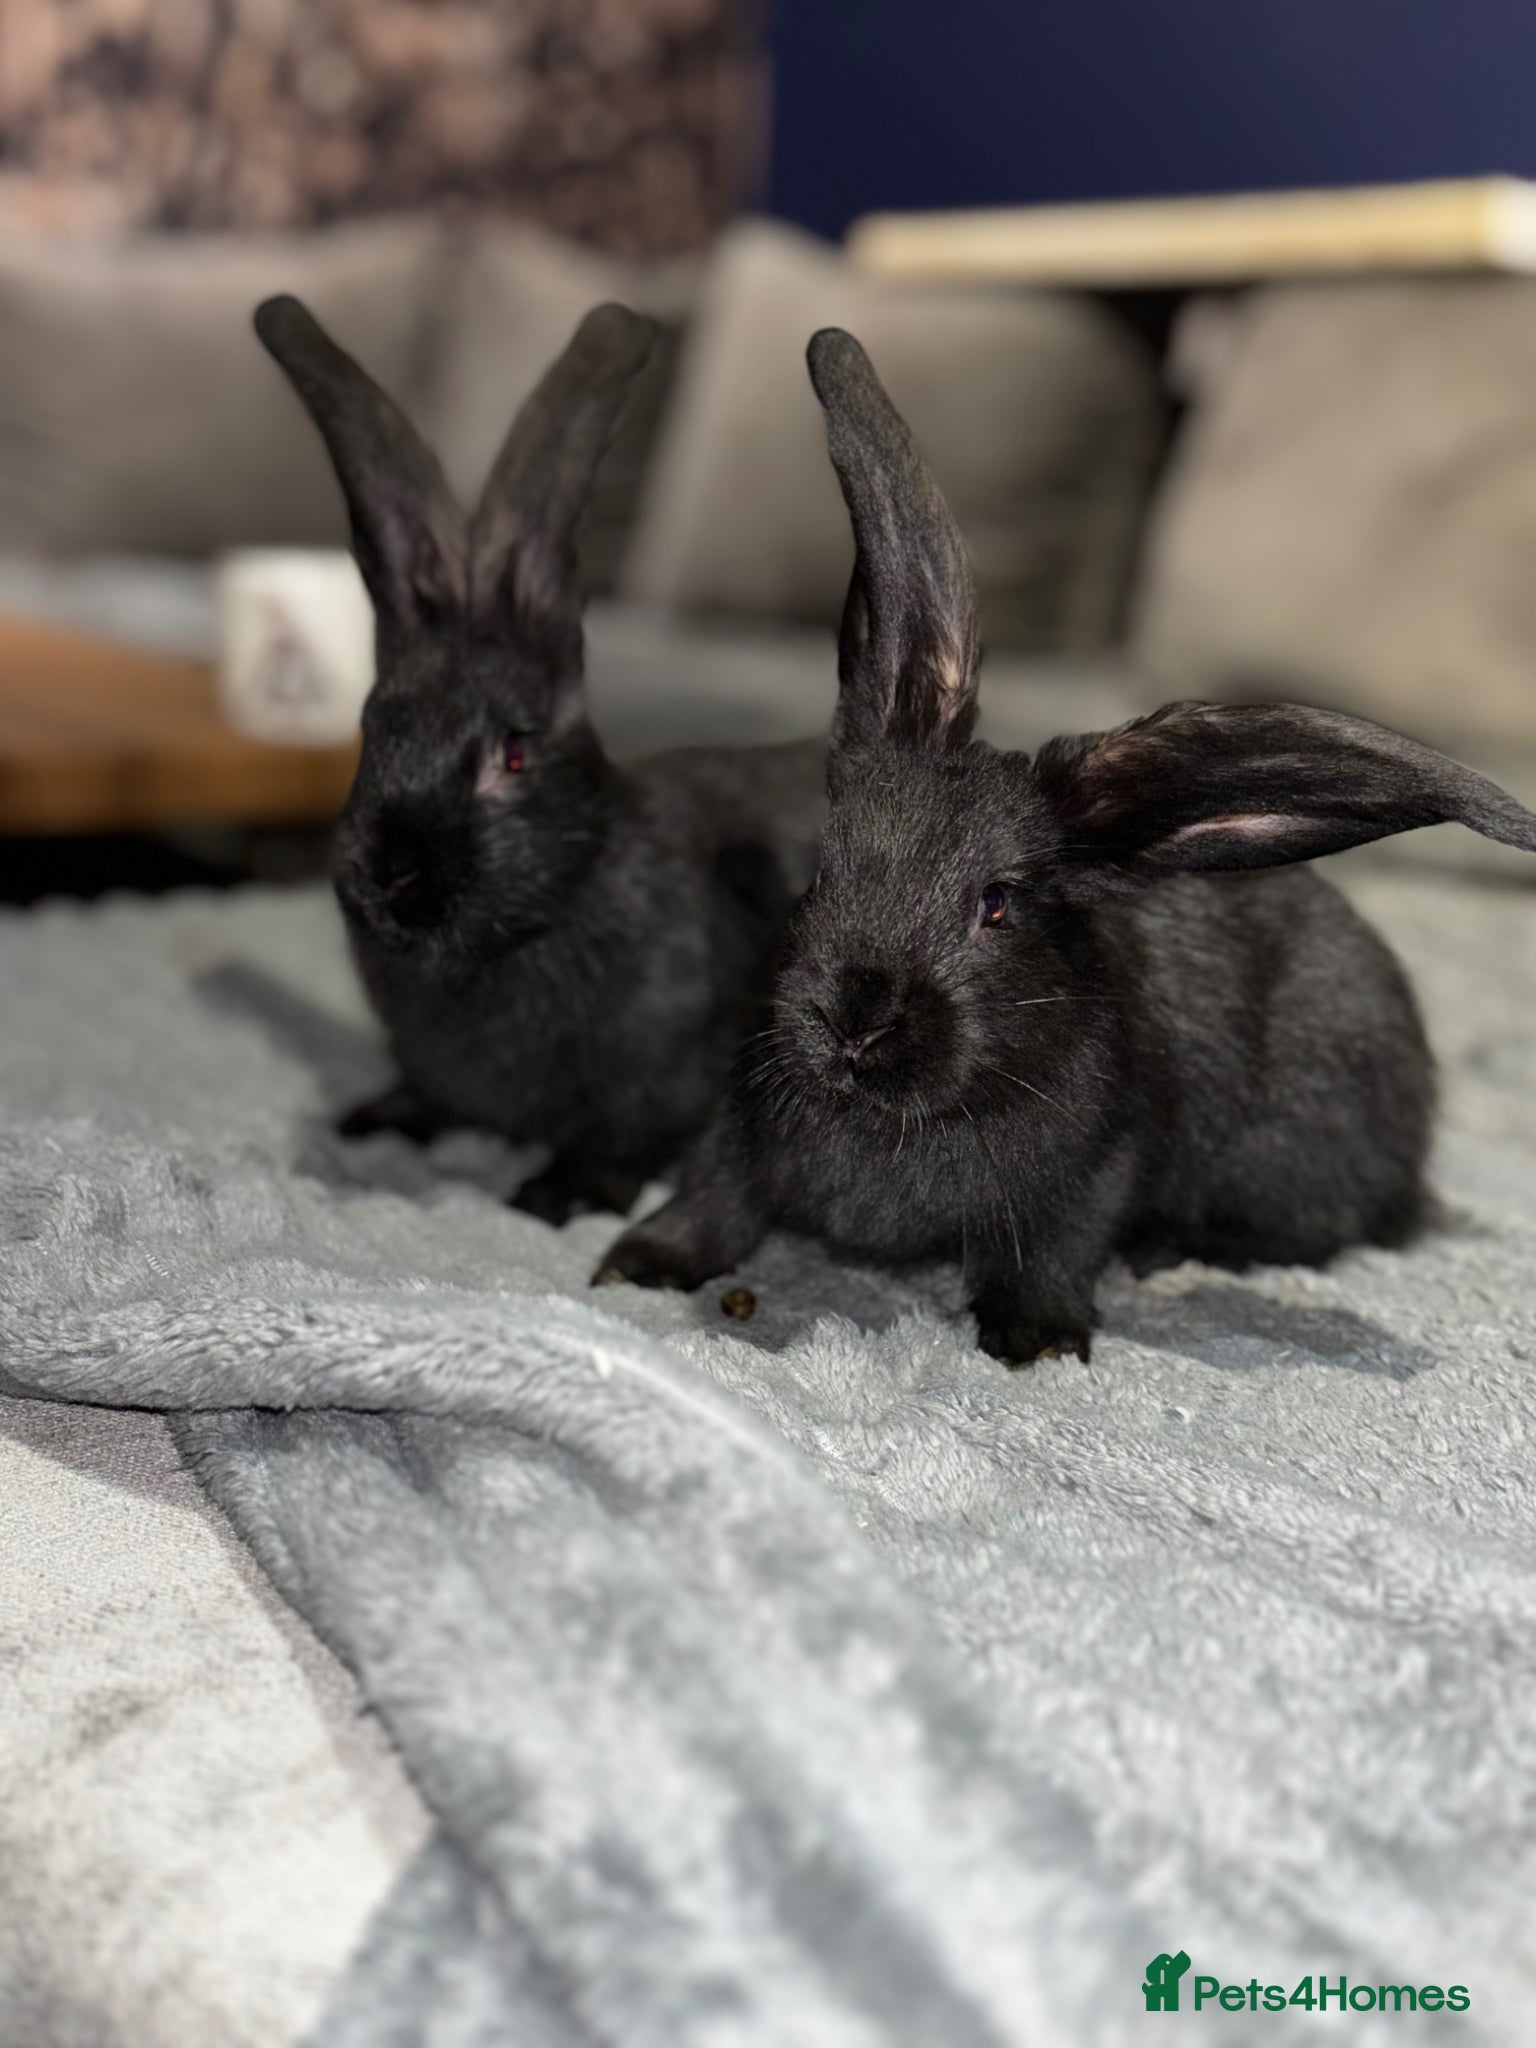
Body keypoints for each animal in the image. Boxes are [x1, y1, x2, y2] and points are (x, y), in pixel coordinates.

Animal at [254, 296, 825, 1223]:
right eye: (373, 730)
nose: (394, 880)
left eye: (514, 756)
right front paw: (370, 1121)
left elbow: (621, 1144)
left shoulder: (659, 1078)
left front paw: (550, 1198)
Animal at [594, 326, 1536, 1363]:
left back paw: (1171, 1251)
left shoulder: (1096, 1170)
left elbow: (1053, 1248)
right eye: (825, 868)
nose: (854, 1021)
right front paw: (636, 1263)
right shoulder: (739, 1126)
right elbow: (714, 1198)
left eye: (997, 905)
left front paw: (1035, 1341)